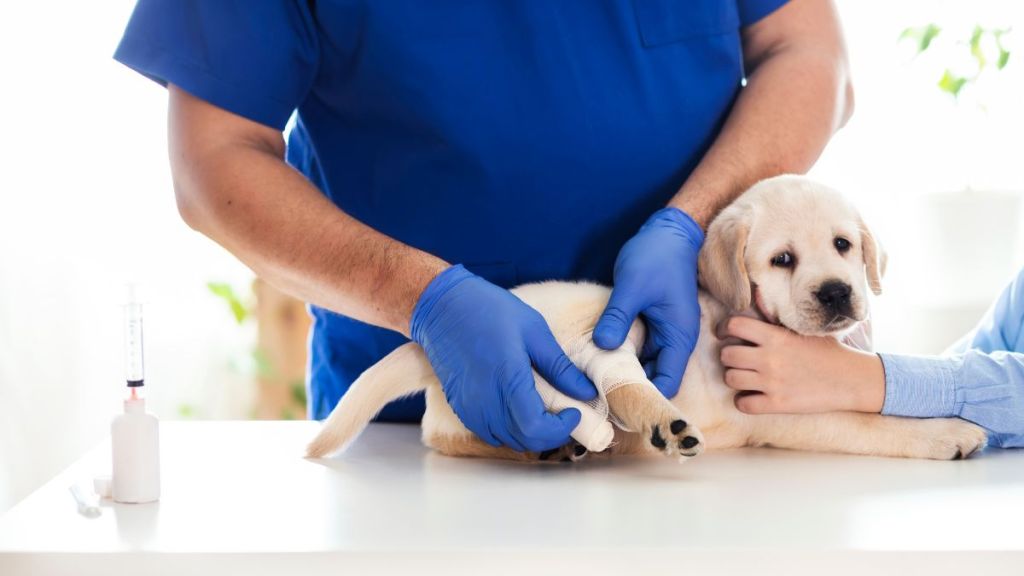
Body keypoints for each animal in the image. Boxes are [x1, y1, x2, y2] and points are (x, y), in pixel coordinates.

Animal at [305, 175, 983, 461]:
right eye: (782, 260)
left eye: (844, 244)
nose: (839, 293)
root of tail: (430, 347)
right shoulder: (784, 412)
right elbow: (874, 421)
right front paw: (947, 432)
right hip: (593, 326)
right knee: (585, 391)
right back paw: (648, 425)